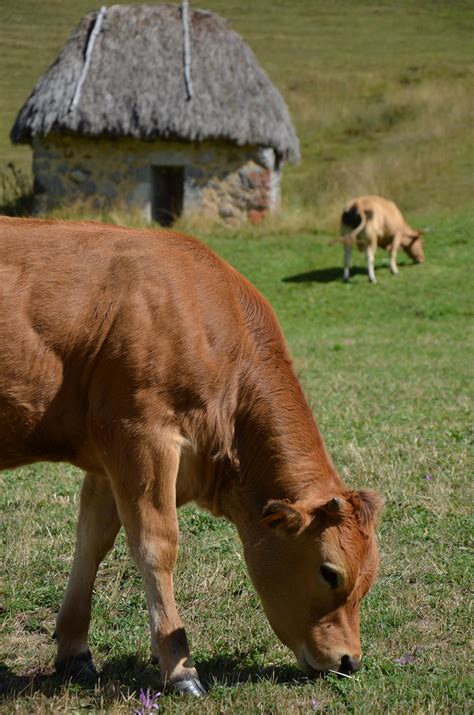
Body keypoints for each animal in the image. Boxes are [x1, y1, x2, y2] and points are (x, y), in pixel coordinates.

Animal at [0, 220, 384, 700]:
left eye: (369, 578)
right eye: (330, 573)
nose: (350, 661)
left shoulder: (108, 461)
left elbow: (92, 540)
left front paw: (74, 652)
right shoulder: (140, 435)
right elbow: (156, 546)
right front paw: (180, 668)